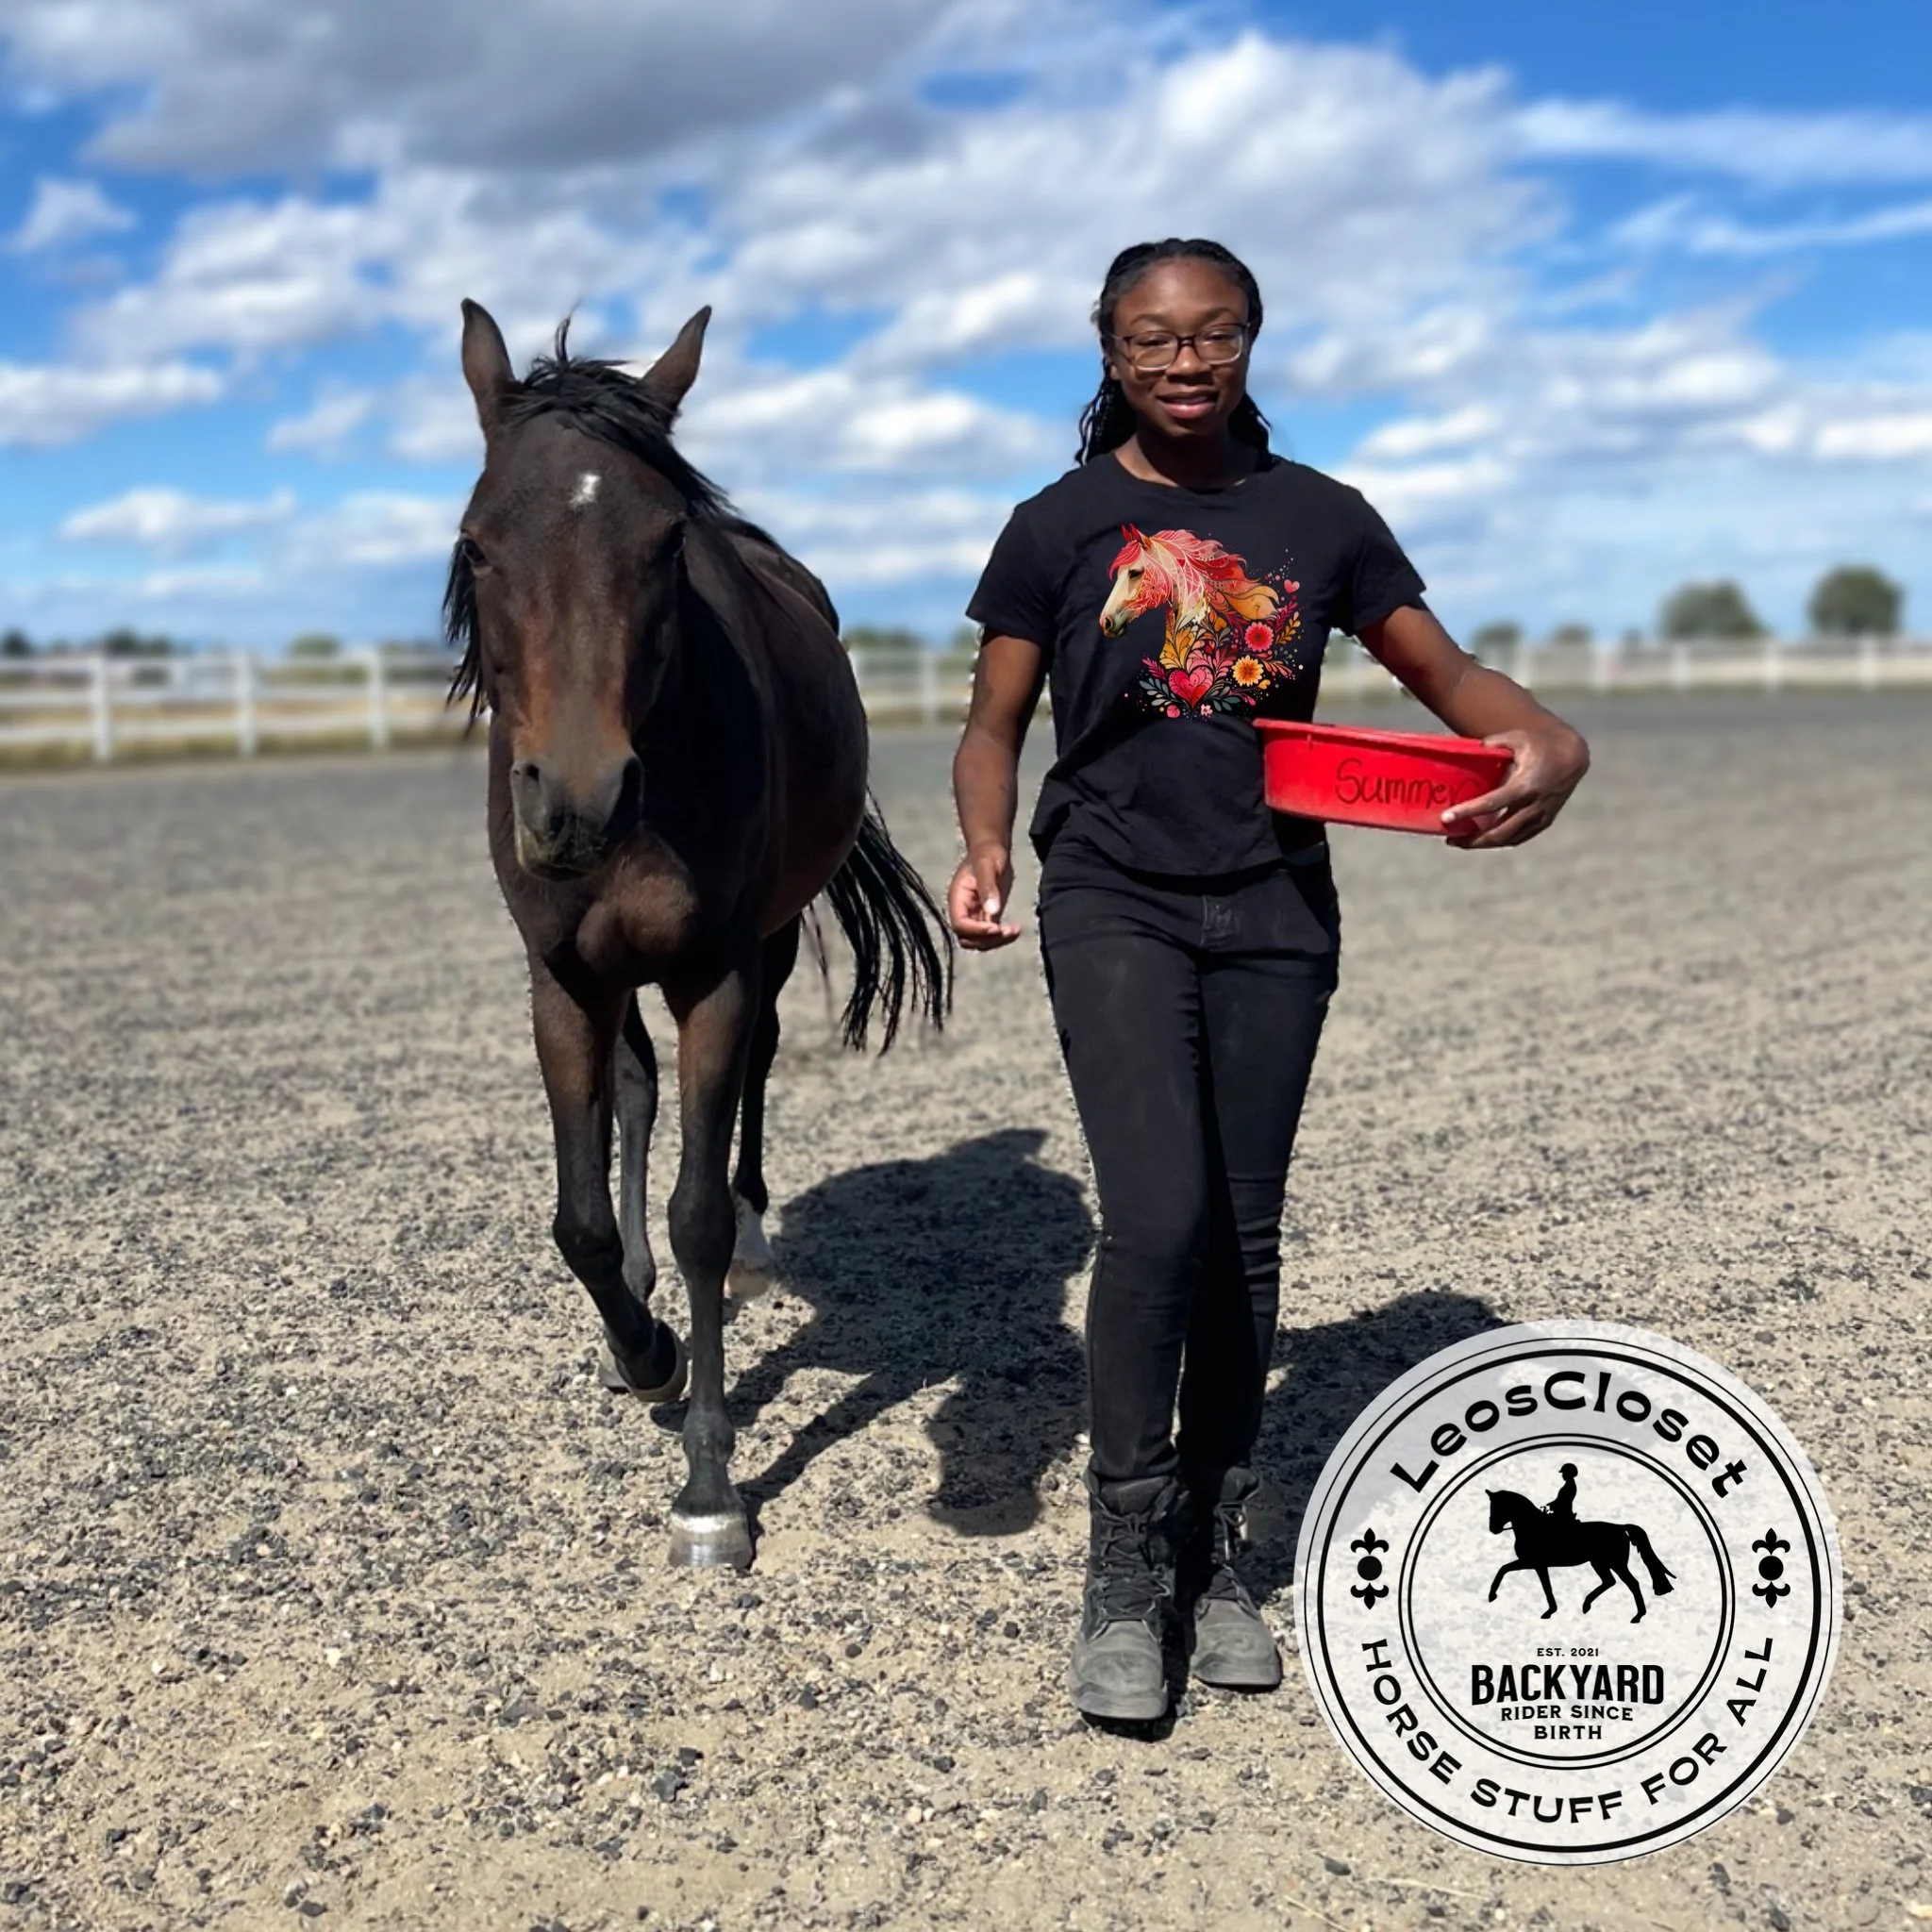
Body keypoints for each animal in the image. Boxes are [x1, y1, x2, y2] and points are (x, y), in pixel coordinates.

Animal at [445, 299, 951, 1571]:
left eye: (667, 542)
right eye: (476, 545)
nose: (576, 801)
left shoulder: (715, 971)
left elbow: (699, 1215)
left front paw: (712, 1486)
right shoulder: (562, 979)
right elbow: (579, 1218)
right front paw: (645, 1350)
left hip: (764, 940)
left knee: (757, 1077)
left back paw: (761, 1240)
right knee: (633, 1091)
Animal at [1484, 1489, 1676, 1624]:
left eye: (1500, 1507)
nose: (1493, 1529)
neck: (1532, 1527)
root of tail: (1620, 1527)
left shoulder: (1535, 1563)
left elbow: (1542, 1586)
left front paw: (1549, 1611)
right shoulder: (1533, 1563)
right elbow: (1505, 1569)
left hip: (1616, 1563)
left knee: (1632, 1583)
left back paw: (1637, 1616)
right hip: (1599, 1563)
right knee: (1609, 1581)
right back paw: (1586, 1605)